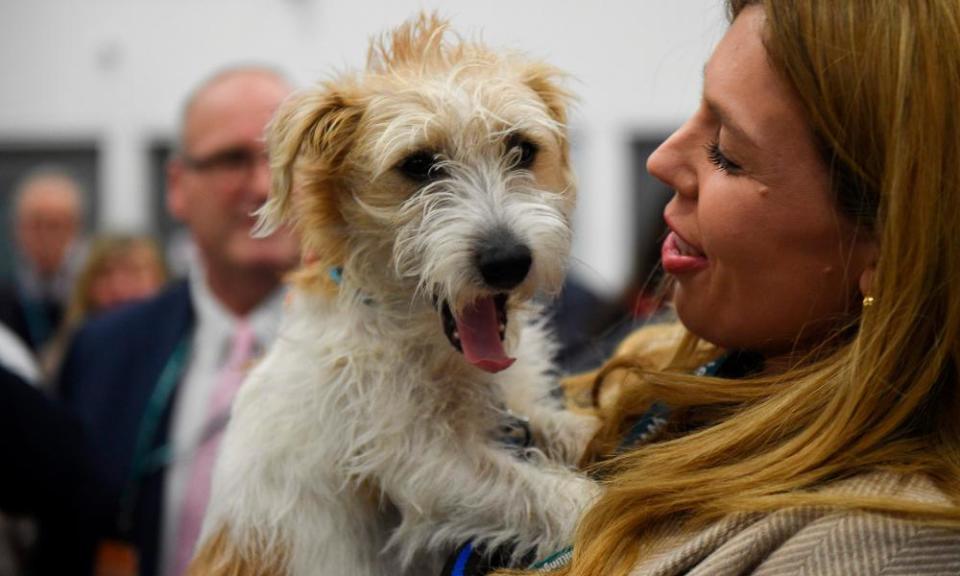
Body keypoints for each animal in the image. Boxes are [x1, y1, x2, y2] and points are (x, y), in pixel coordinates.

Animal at [190, 13, 596, 576]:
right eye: (419, 165)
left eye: (520, 149)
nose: (507, 261)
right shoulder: (423, 463)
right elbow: (558, 496)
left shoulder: (503, 419)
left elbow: (564, 427)